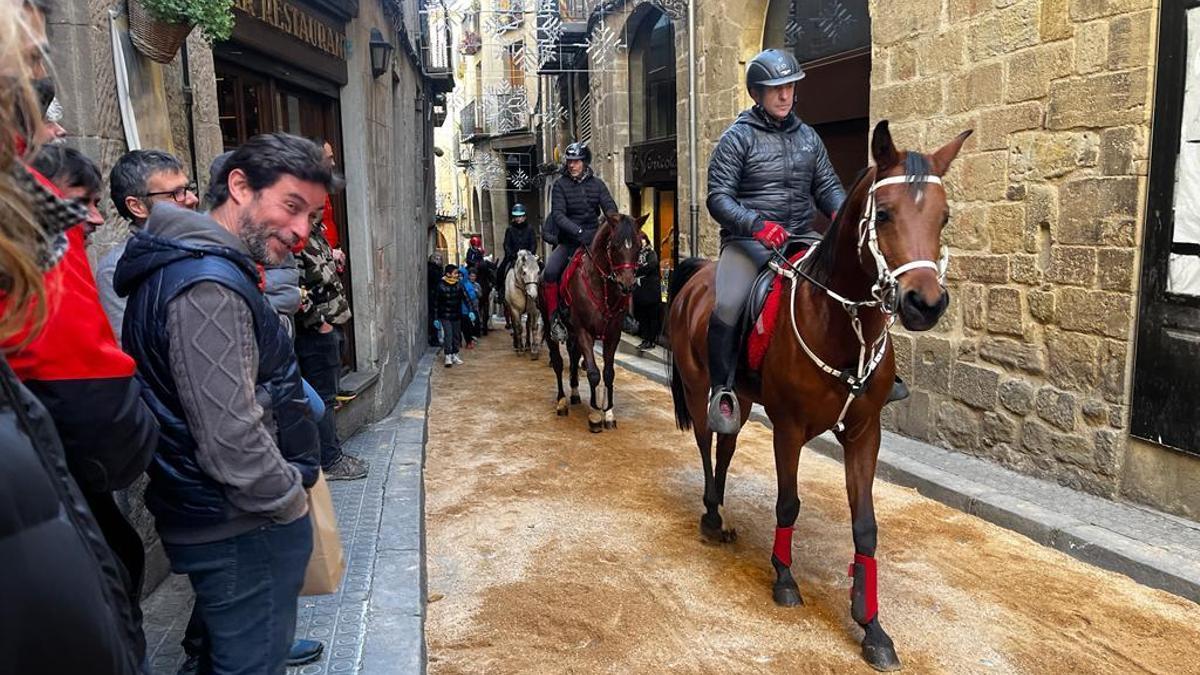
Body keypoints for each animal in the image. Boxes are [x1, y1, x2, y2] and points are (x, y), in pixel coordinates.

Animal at [544, 211, 648, 429]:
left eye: (638, 245)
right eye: (614, 245)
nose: (627, 285)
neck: (601, 284)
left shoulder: (612, 334)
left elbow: (608, 373)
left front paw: (608, 413)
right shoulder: (585, 332)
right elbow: (593, 372)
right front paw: (594, 414)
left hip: (573, 334)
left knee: (573, 358)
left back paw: (575, 394)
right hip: (551, 329)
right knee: (558, 362)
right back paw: (562, 401)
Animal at [672, 121, 969, 667]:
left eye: (944, 216)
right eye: (885, 213)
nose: (925, 303)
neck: (841, 322)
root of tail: (696, 277)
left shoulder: (864, 433)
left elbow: (866, 526)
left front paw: (872, 627)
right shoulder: (788, 429)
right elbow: (788, 503)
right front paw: (785, 578)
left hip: (741, 400)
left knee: (726, 446)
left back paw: (720, 511)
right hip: (703, 389)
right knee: (706, 444)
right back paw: (710, 513)